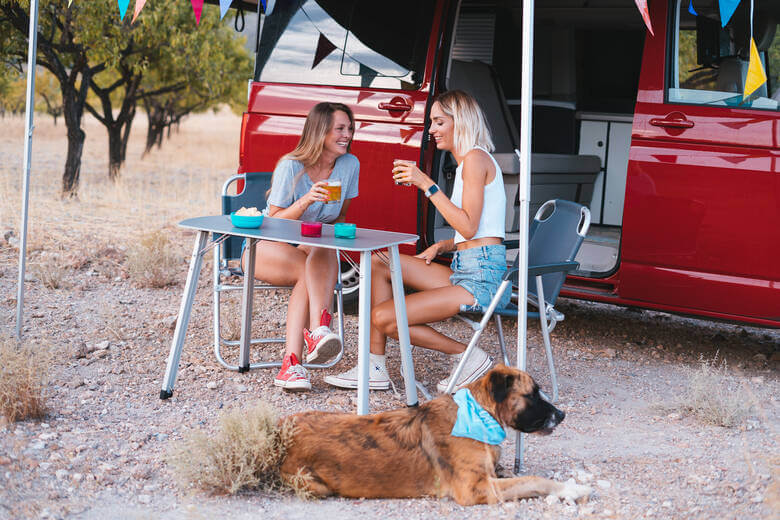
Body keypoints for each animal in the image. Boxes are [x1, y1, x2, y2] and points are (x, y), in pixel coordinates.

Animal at [280, 364, 592, 506]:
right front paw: (572, 489)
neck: (479, 413)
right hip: (314, 485)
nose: (562, 415)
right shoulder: (475, 488)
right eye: (532, 394)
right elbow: (534, 480)